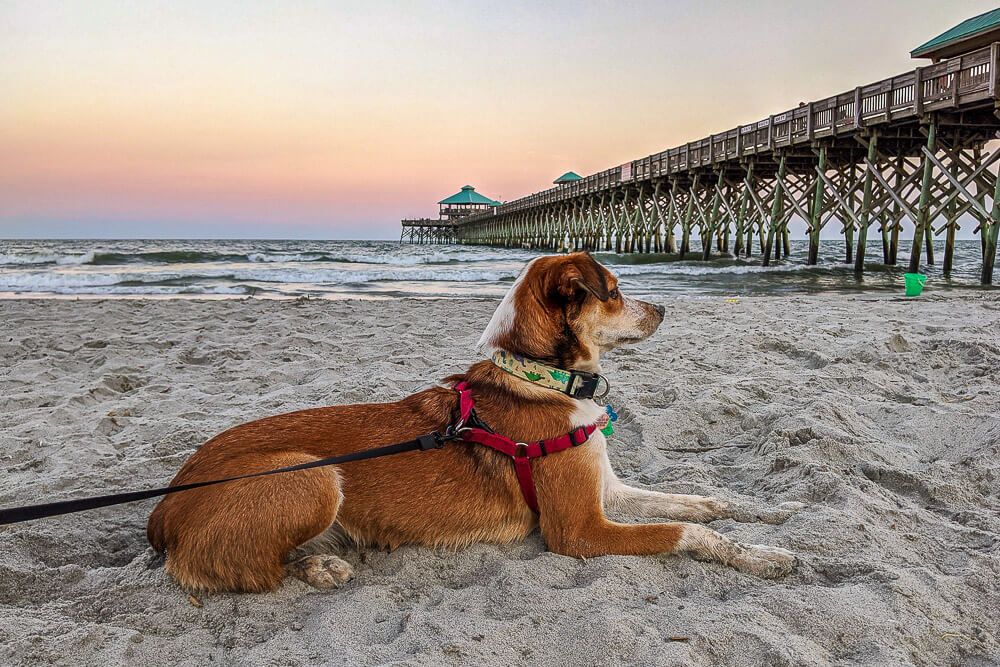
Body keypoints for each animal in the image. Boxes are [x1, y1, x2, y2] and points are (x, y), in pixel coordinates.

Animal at [148, 253, 796, 592]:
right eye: (613, 292)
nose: (663, 307)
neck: (541, 376)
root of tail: (165, 503)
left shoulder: (608, 491)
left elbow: (701, 502)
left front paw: (769, 514)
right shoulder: (579, 530)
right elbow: (688, 531)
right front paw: (762, 557)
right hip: (313, 475)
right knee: (233, 568)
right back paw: (320, 566)